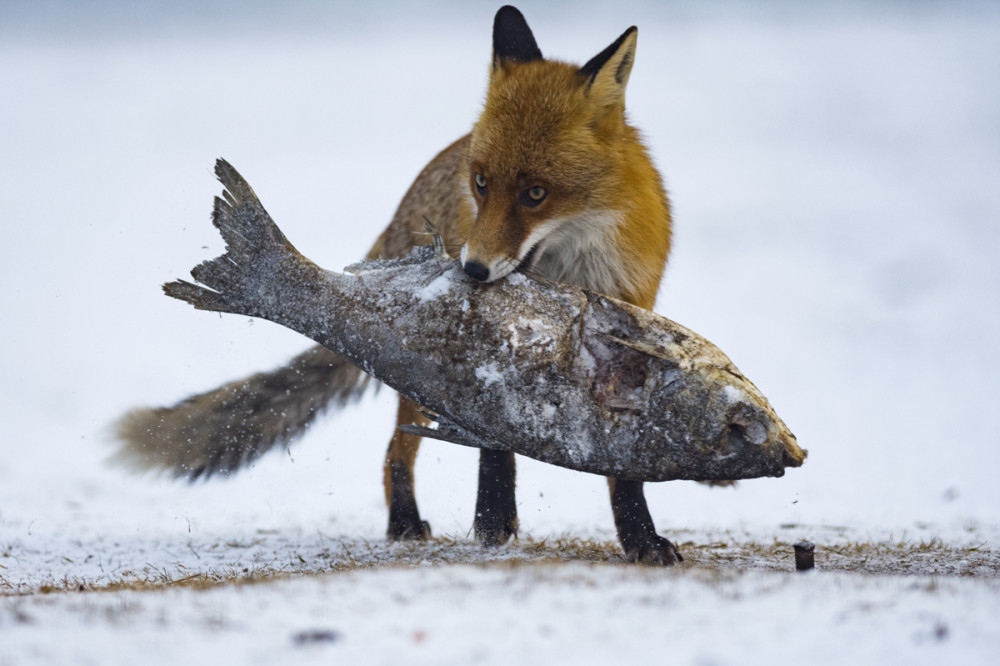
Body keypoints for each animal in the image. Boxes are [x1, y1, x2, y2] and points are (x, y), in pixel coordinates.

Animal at [115, 6, 680, 560]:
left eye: (536, 194)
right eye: (481, 183)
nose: (471, 269)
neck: (569, 274)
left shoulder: (628, 346)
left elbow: (624, 471)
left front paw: (639, 537)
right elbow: (494, 447)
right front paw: (492, 518)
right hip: (423, 381)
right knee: (394, 451)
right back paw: (405, 520)